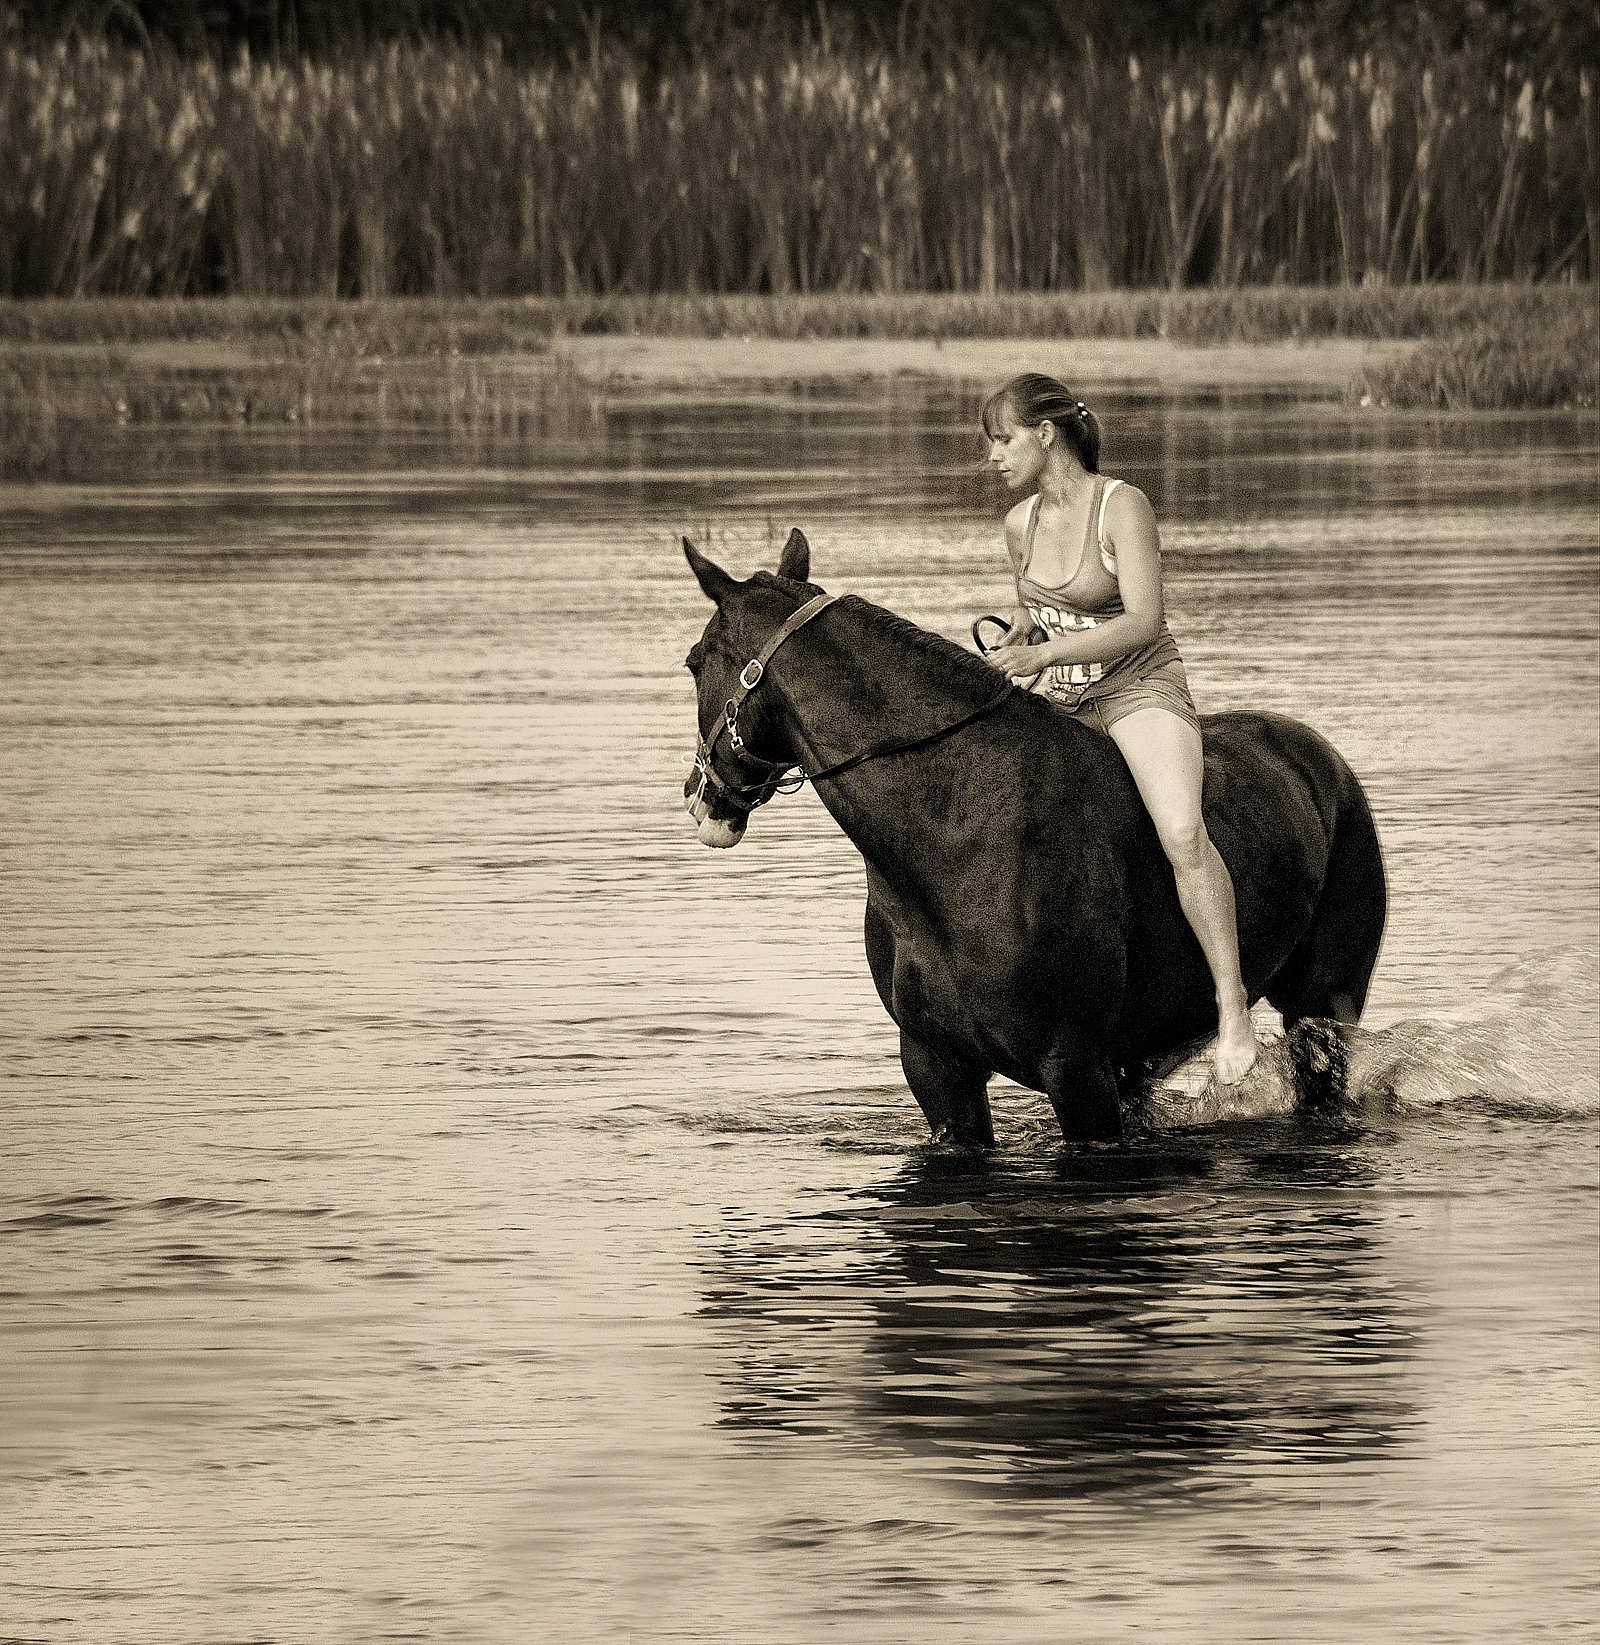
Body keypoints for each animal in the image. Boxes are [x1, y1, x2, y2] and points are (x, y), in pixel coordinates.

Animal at [680, 529, 1381, 1144]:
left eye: (692, 662)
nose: (701, 797)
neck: (949, 836)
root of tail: (1324, 760)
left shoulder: (1078, 1068)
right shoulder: (937, 1066)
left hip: (1325, 1005)